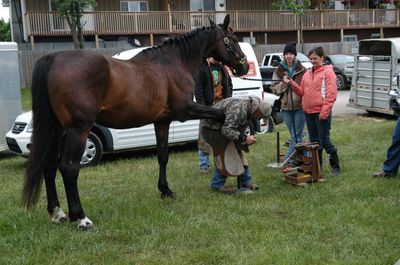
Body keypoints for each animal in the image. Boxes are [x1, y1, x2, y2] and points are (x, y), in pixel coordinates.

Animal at [21, 15, 248, 228]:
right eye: (233, 39)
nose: (244, 66)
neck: (174, 62)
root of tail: (52, 60)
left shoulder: (162, 122)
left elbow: (163, 156)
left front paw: (165, 190)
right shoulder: (186, 110)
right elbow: (220, 115)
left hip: (57, 130)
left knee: (49, 166)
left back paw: (57, 213)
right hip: (78, 130)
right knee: (69, 169)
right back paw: (81, 218)